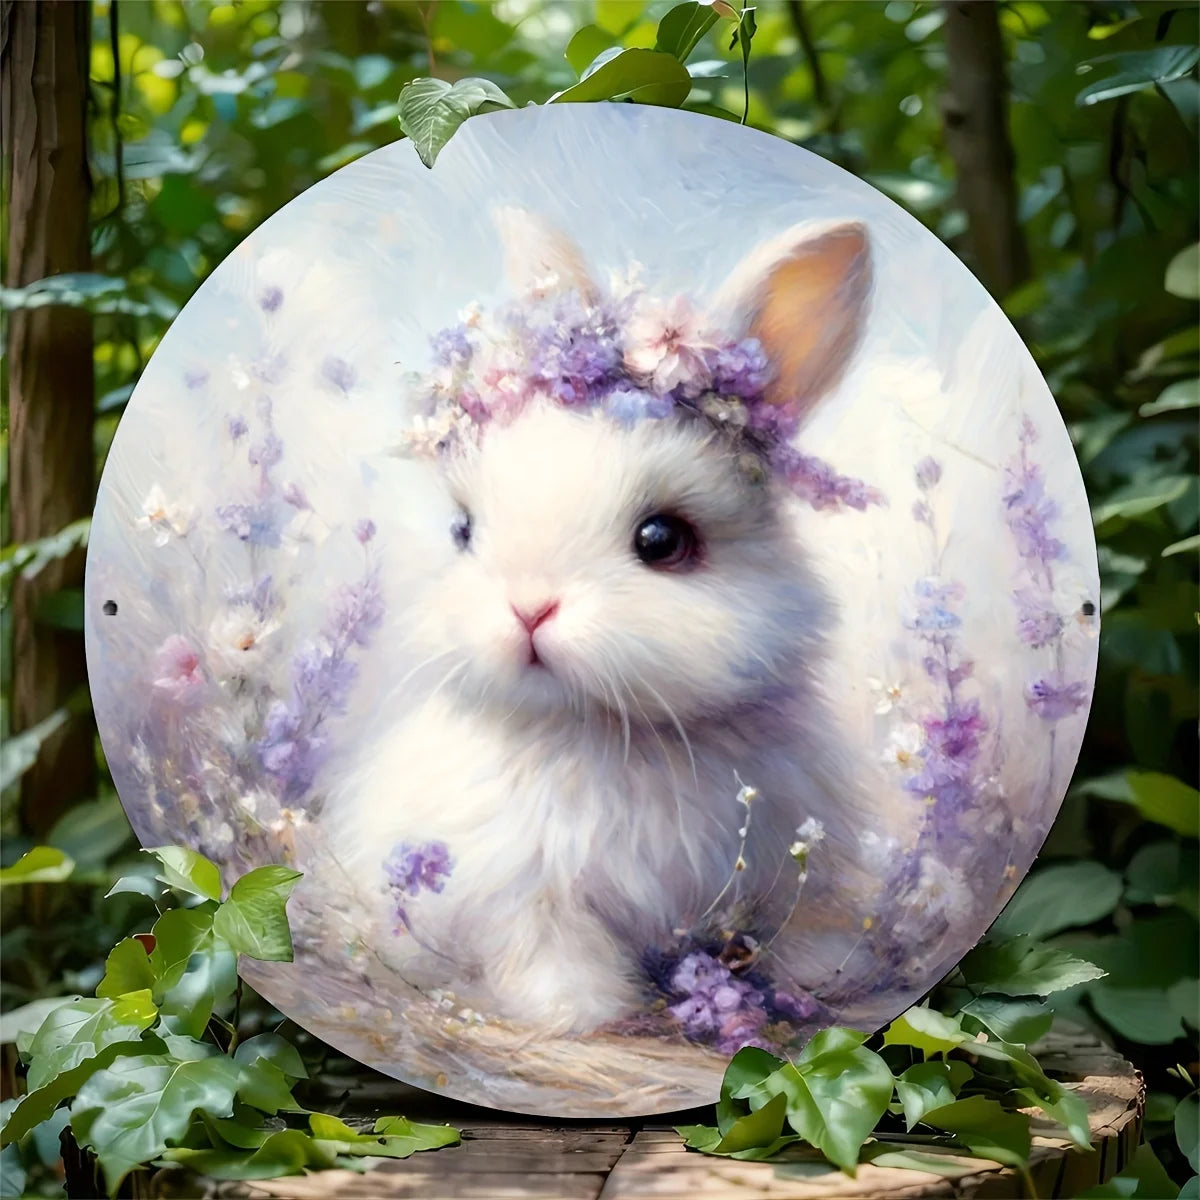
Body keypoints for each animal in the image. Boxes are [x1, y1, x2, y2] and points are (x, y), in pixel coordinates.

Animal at [326, 211, 878, 1034]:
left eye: (662, 539)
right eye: (464, 531)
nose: (529, 607)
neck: (605, 731)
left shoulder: (796, 862)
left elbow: (804, 925)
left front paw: (826, 976)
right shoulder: (525, 890)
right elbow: (550, 950)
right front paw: (579, 1014)